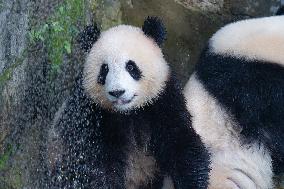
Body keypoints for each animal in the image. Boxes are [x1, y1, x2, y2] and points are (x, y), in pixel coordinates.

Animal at [48, 17, 209, 188]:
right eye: (104, 69)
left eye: (131, 67)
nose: (117, 92)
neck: (128, 112)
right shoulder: (92, 115)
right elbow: (97, 167)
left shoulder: (162, 99)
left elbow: (181, 143)